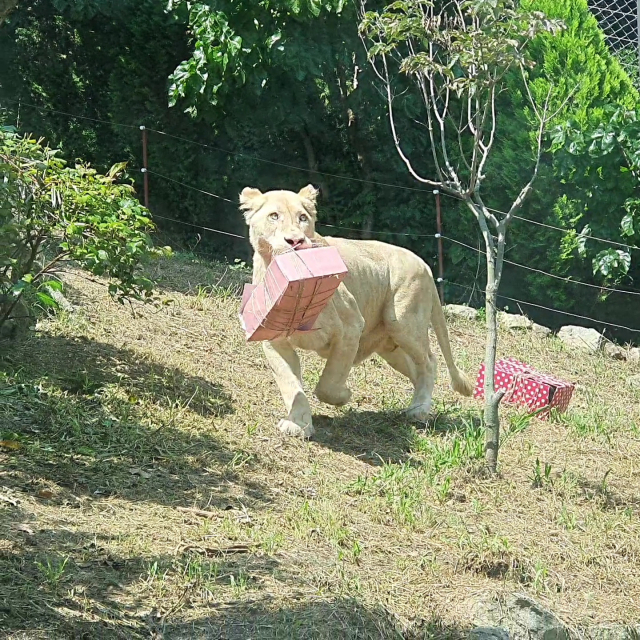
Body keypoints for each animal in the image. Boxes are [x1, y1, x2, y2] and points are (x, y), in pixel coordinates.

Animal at [241, 182, 476, 438]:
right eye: (274, 216)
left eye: (302, 217)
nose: (295, 241)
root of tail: (424, 265)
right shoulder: (274, 340)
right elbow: (290, 384)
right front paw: (298, 424)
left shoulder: (351, 326)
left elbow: (329, 382)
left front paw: (344, 395)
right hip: (390, 346)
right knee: (416, 368)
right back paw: (415, 406)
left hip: (403, 322)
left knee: (429, 362)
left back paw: (419, 410)